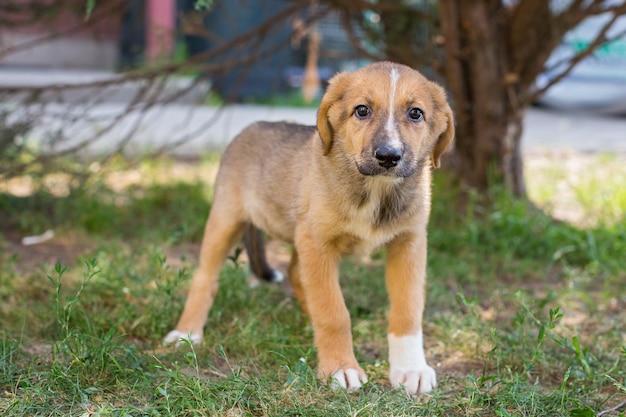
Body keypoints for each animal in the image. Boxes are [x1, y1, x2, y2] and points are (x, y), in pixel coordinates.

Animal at [165, 61, 454, 394]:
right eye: (362, 110)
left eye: (416, 113)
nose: (388, 156)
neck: (374, 191)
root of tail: (252, 126)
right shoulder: (318, 242)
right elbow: (334, 311)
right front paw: (341, 367)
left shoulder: (409, 243)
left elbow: (407, 310)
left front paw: (410, 369)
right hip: (226, 220)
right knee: (205, 278)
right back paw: (187, 333)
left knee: (294, 273)